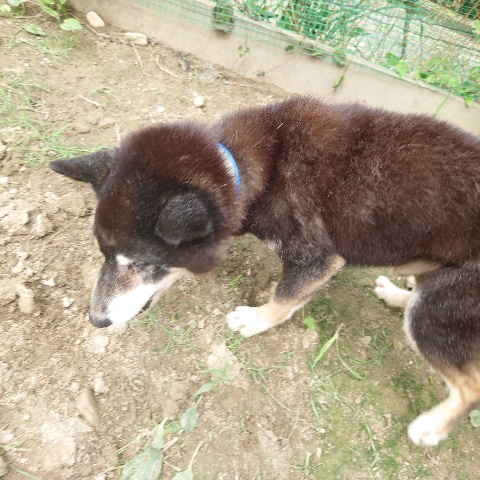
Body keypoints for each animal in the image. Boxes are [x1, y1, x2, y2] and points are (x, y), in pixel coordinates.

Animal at [50, 96, 480, 447]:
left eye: (140, 263)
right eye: (104, 253)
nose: (96, 320)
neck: (244, 166)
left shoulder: (316, 258)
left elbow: (284, 297)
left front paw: (256, 320)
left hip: (439, 305)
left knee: (469, 385)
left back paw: (431, 428)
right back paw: (395, 294)